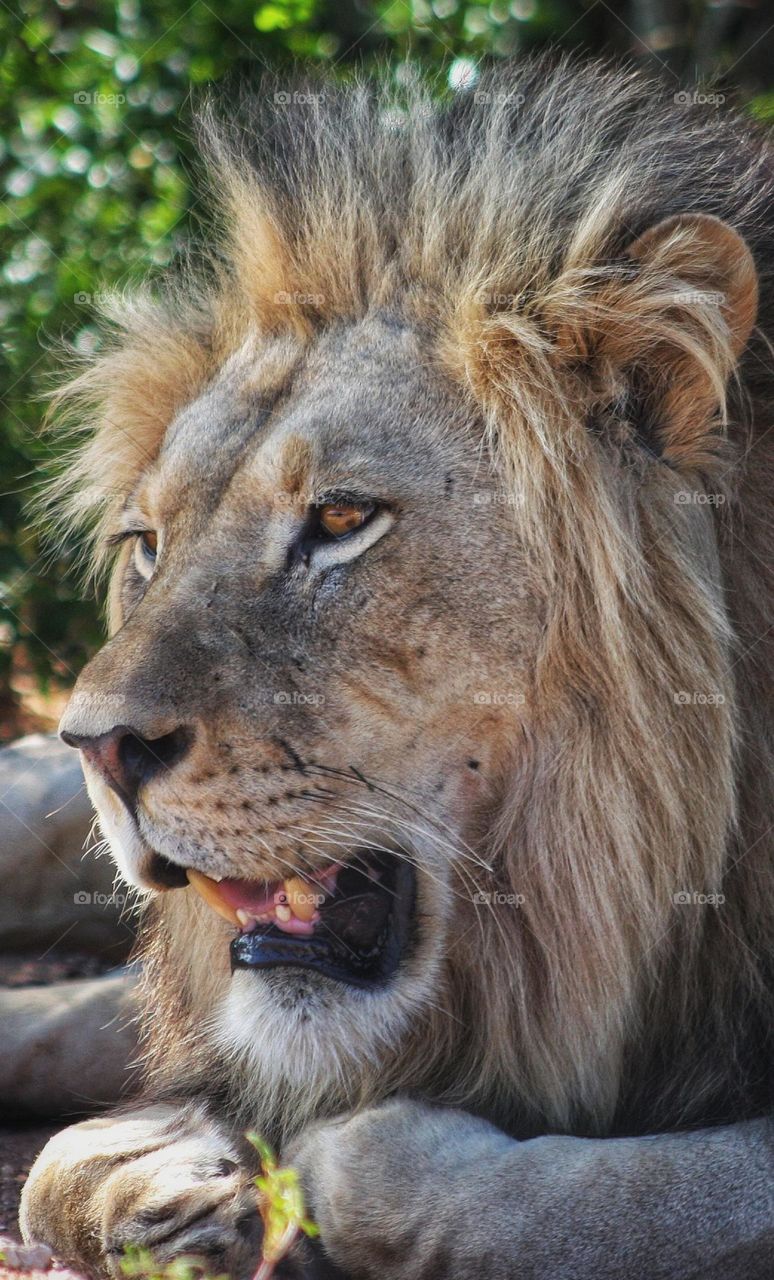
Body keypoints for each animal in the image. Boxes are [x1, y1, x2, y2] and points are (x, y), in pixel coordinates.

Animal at [19, 57, 772, 1280]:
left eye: (339, 519)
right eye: (147, 546)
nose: (98, 746)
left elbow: (645, 1194)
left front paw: (315, 1168)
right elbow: (58, 1165)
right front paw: (162, 1173)